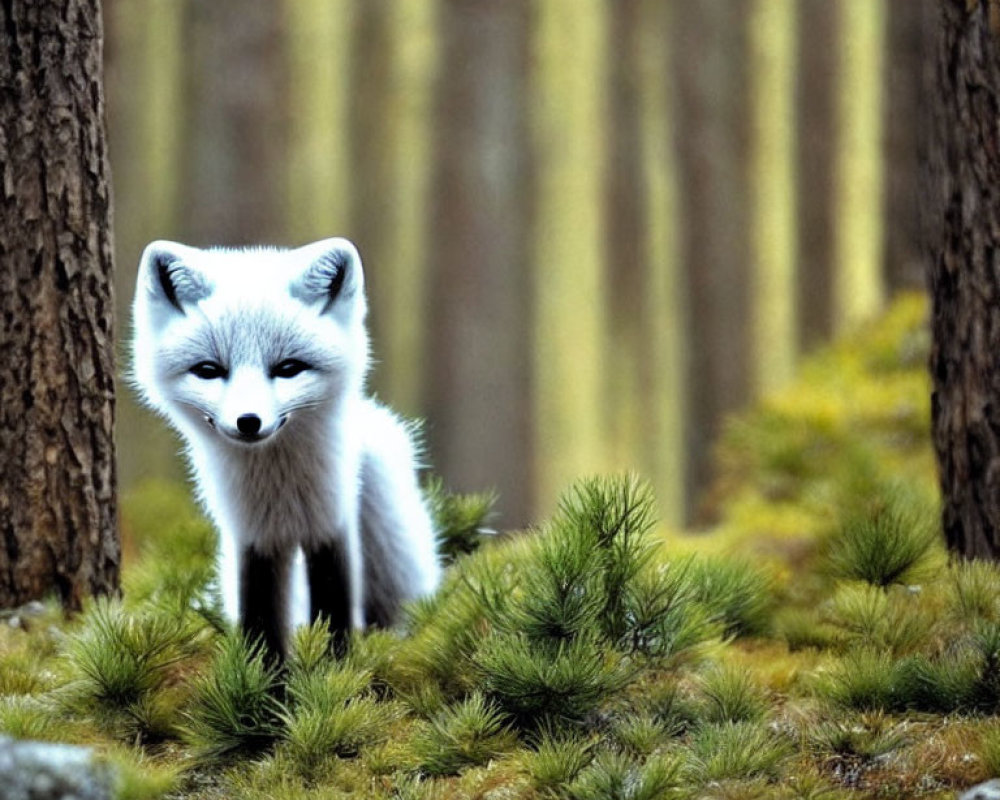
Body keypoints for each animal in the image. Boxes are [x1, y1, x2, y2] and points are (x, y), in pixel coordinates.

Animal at [130, 236, 442, 656]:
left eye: (289, 368)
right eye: (209, 370)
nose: (248, 421)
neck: (279, 490)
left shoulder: (330, 523)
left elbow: (335, 610)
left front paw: (334, 667)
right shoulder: (253, 537)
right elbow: (260, 619)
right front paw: (263, 673)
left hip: (393, 554)